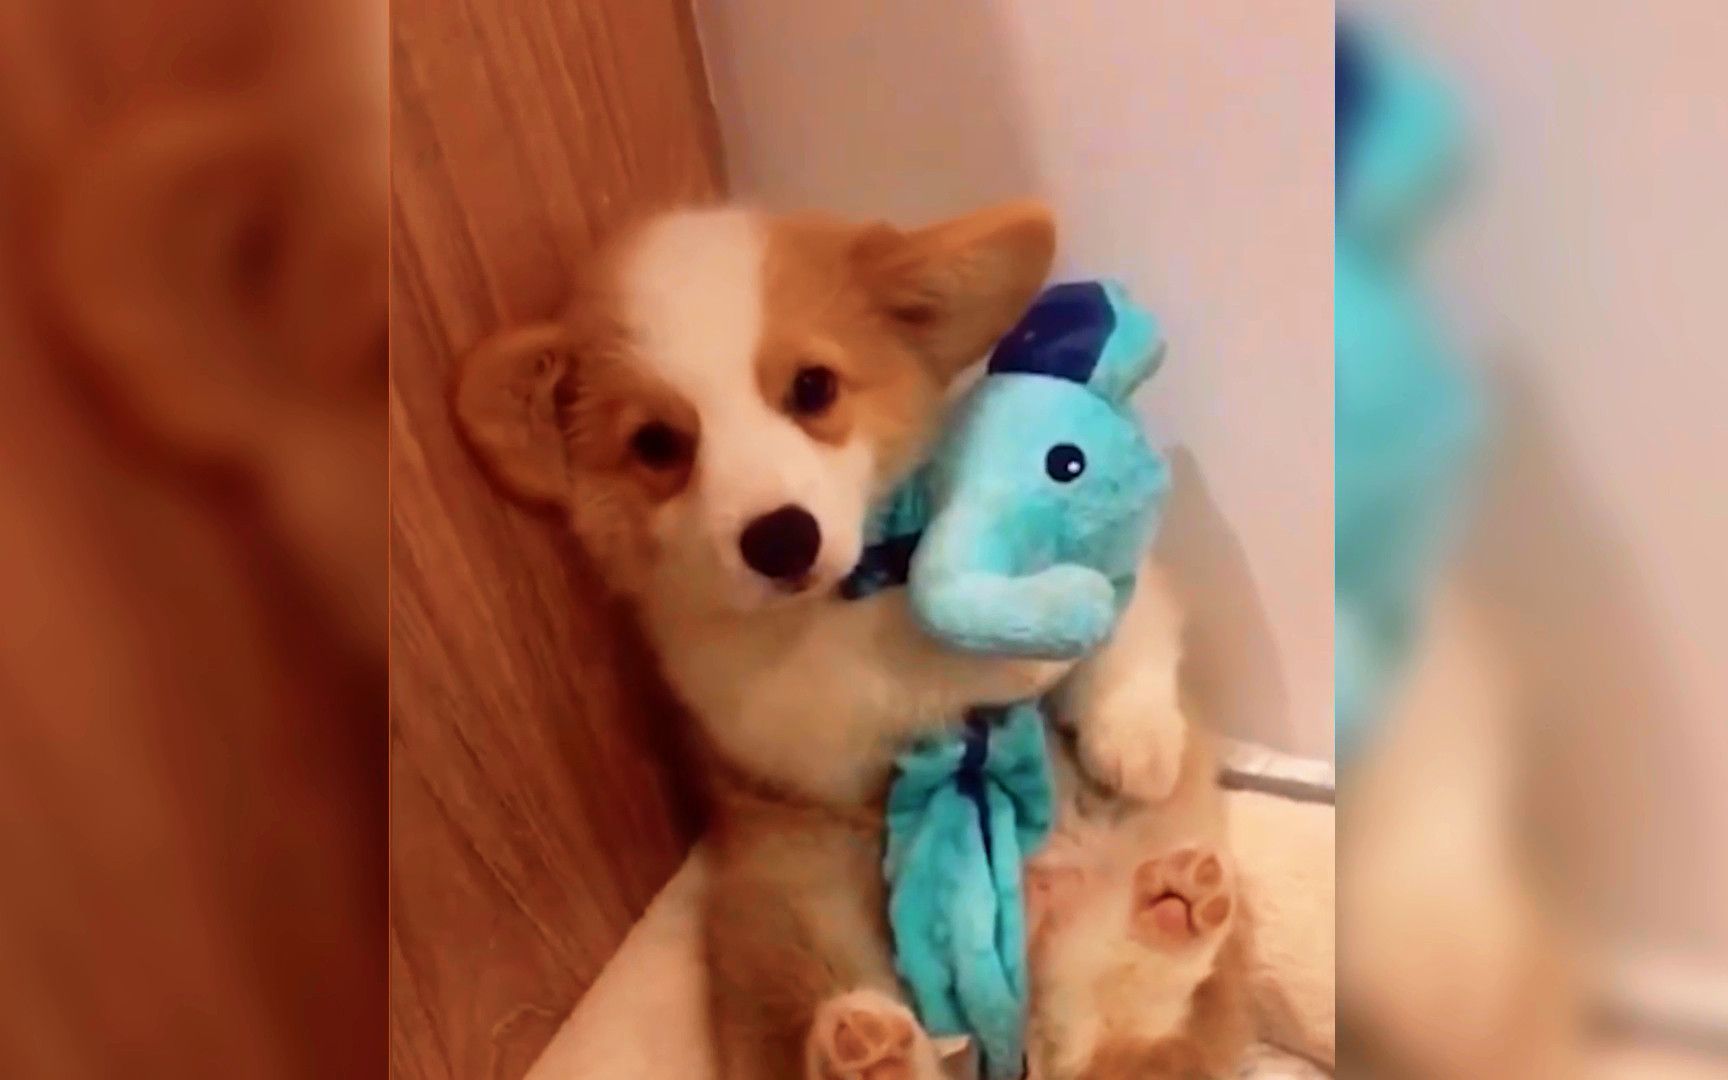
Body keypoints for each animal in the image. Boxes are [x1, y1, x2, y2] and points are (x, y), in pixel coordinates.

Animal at [453, 202, 1202, 1078]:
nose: (782, 541)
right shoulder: (779, 717)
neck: (851, 587)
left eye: (813, 387)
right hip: (797, 909)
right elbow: (874, 666)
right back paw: (870, 1047)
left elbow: (1133, 613)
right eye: (657, 444)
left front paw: (1137, 736)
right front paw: (1009, 644)